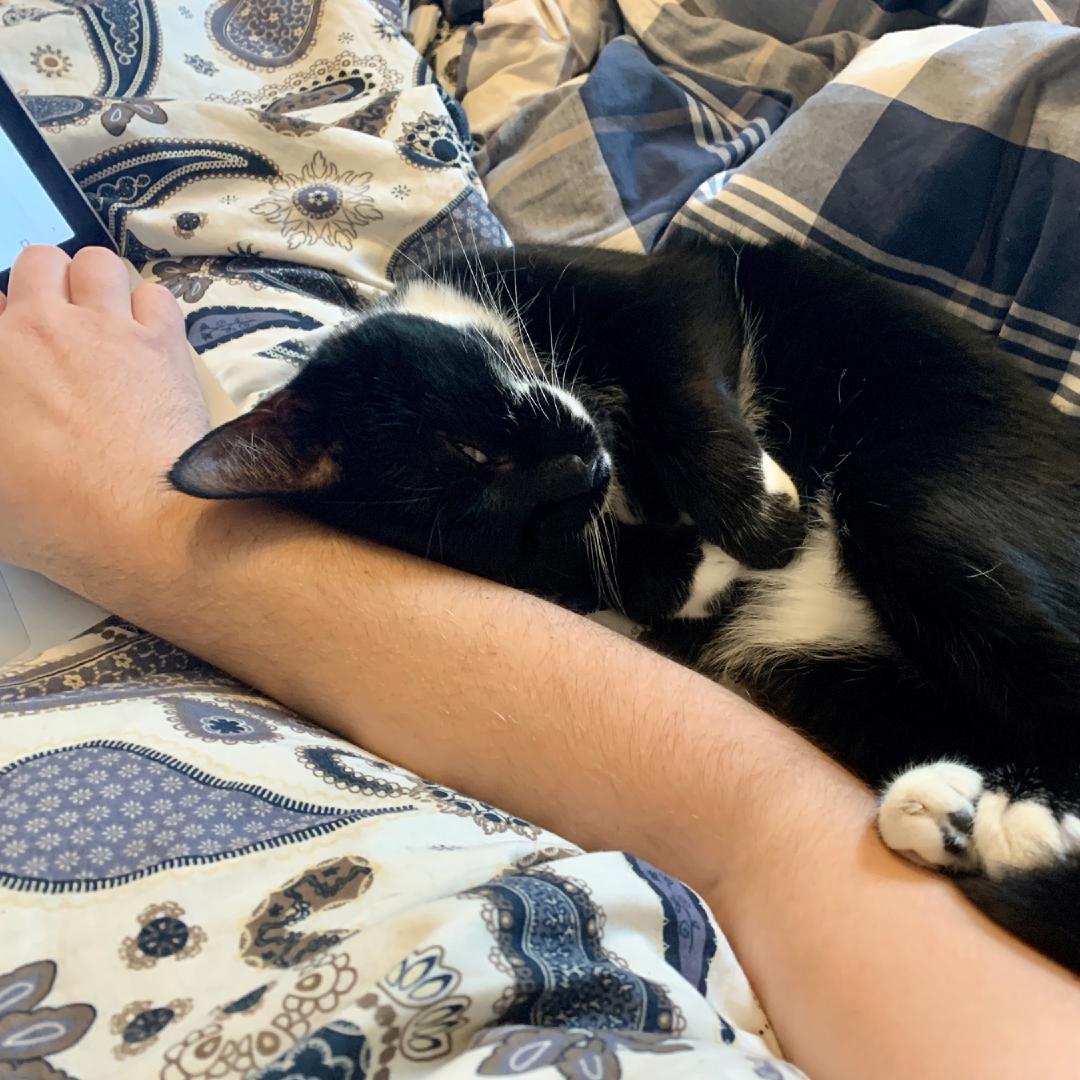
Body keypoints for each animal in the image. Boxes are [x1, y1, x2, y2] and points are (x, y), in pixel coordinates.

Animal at [166, 240, 1080, 976]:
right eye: (525, 535)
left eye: (474, 446)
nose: (583, 470)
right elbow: (629, 576)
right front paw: (682, 567)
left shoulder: (657, 284)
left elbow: (682, 366)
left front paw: (758, 517)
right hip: (813, 672)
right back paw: (966, 817)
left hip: (923, 516)